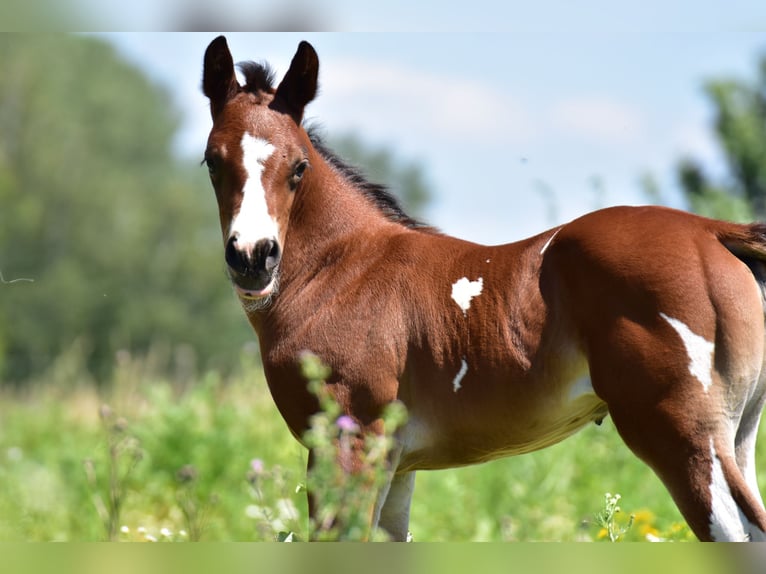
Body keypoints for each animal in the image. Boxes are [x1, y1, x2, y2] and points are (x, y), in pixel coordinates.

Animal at [201, 37, 766, 544]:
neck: (343, 270)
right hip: (735, 438)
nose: (252, 257)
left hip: (682, 434)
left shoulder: (349, 442)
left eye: (299, 166)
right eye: (212, 160)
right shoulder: (396, 463)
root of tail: (710, 231)